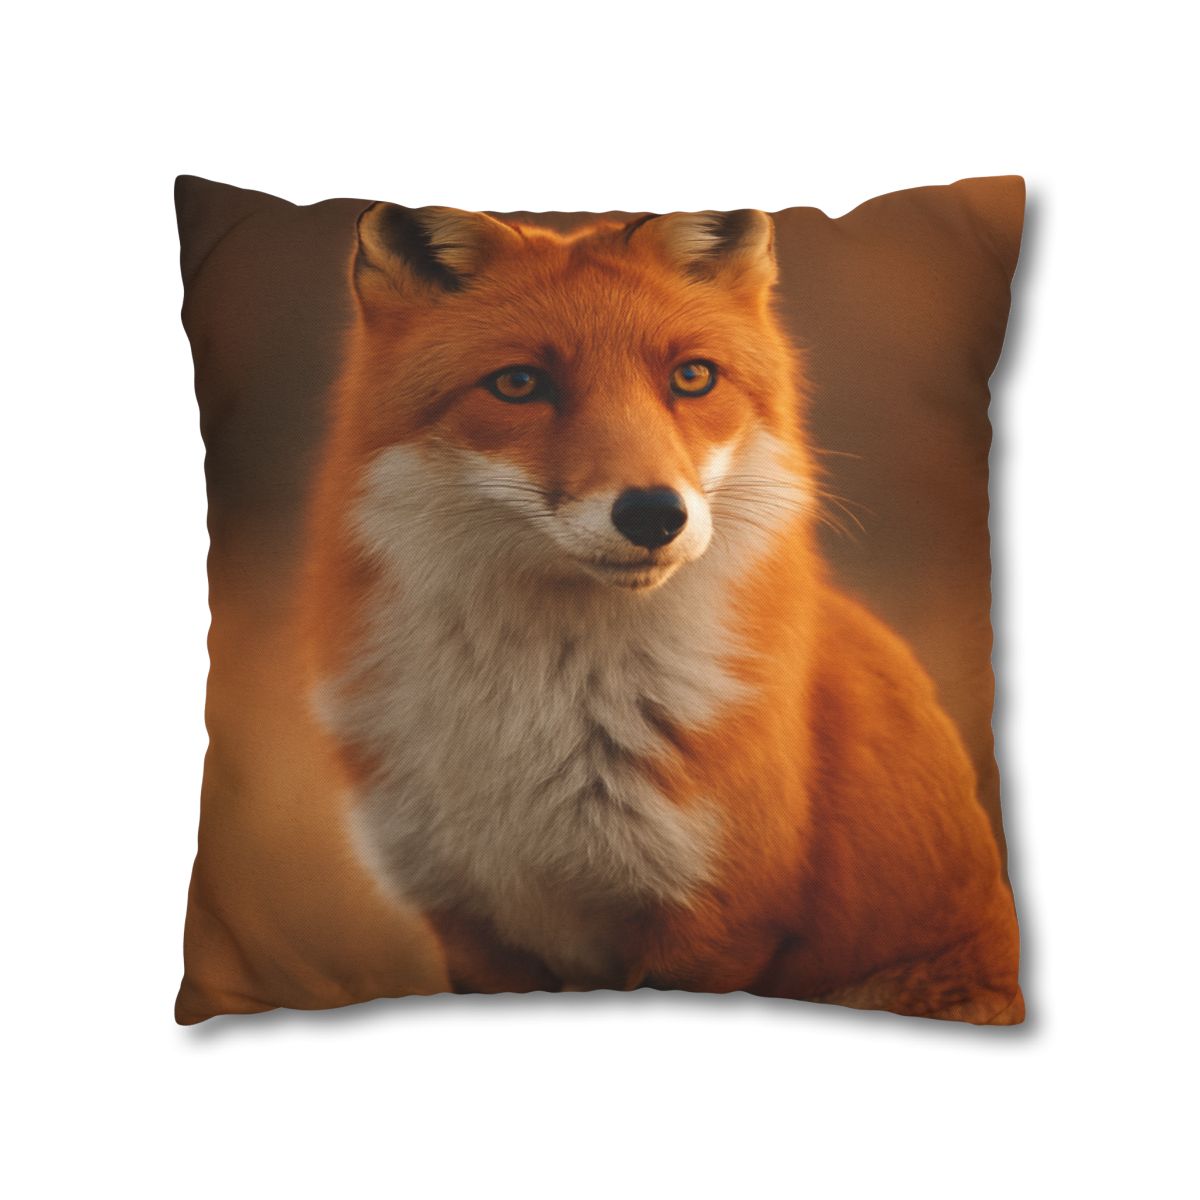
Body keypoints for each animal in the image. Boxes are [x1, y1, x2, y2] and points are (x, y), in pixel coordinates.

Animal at [304, 202, 1023, 1024]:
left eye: (692, 376)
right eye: (518, 383)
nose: (653, 514)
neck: (539, 716)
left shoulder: (719, 920)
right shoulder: (469, 926)